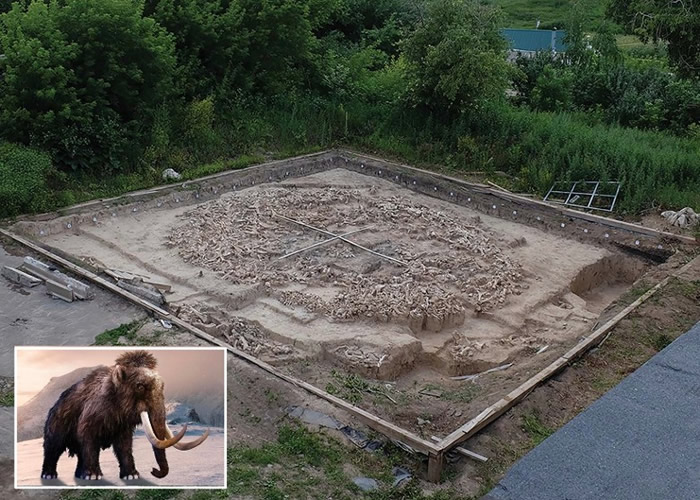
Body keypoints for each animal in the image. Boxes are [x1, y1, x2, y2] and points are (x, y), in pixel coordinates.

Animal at [40, 350, 209, 480]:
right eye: (140, 386)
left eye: (162, 386)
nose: (154, 470)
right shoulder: (88, 422)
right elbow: (89, 443)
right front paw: (94, 476)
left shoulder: (123, 428)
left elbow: (125, 446)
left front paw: (131, 475)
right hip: (55, 429)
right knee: (52, 449)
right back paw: (49, 475)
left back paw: (79, 474)